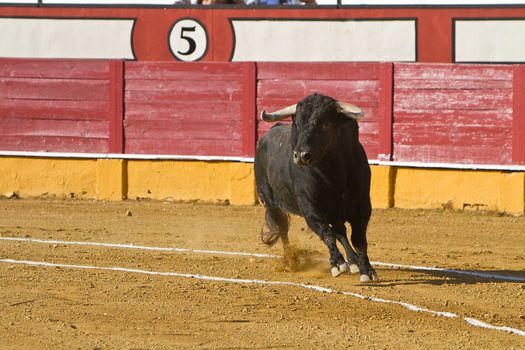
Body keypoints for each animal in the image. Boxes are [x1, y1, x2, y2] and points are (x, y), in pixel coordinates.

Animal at [254, 93, 376, 282]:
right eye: (297, 123)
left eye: (325, 124)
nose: (301, 155)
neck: (333, 175)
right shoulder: (310, 209)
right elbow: (326, 233)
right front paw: (338, 264)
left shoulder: (362, 205)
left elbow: (358, 238)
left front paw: (366, 270)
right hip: (270, 202)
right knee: (283, 230)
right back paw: (291, 261)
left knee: (340, 231)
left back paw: (353, 262)